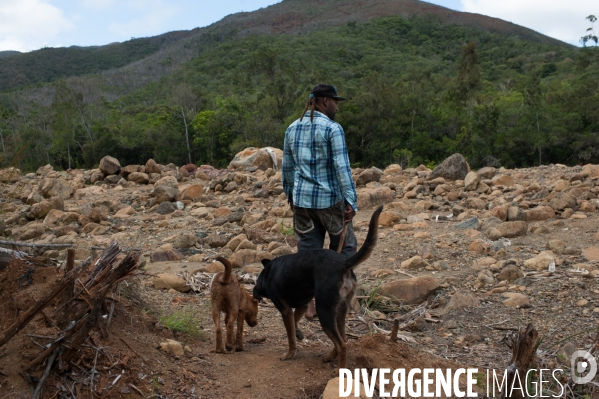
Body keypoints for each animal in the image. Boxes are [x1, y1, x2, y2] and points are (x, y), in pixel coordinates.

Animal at [253, 208, 384, 370]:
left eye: (257, 281)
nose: (254, 292)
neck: (269, 272)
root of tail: (343, 264)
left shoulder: (285, 310)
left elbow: (290, 336)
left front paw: (289, 353)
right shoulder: (301, 306)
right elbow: (294, 324)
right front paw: (298, 334)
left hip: (324, 311)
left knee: (342, 344)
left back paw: (339, 370)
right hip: (339, 311)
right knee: (344, 339)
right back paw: (330, 357)